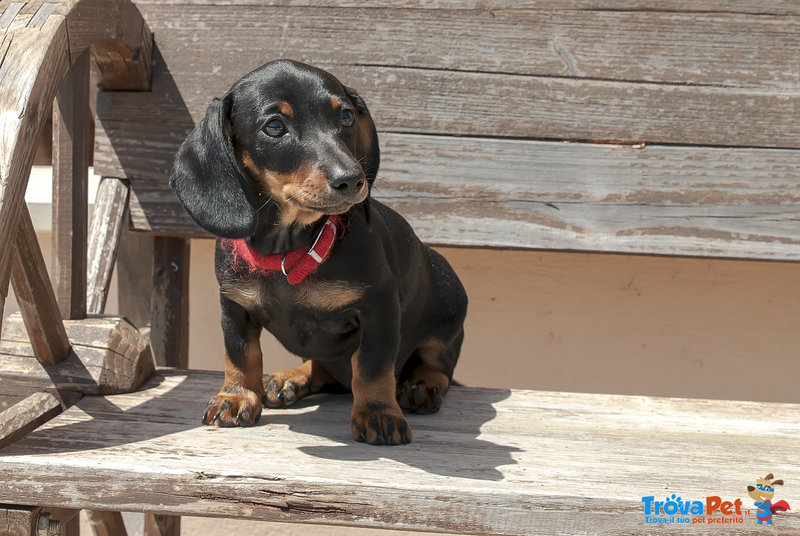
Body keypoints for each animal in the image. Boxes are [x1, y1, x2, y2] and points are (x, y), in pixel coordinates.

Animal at [170, 58, 468, 446]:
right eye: (275, 126)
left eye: (346, 116)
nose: (353, 179)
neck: (290, 249)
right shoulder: (233, 305)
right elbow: (240, 354)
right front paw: (236, 397)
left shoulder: (379, 308)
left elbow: (372, 367)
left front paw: (378, 413)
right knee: (323, 366)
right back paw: (291, 379)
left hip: (448, 314)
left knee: (437, 364)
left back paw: (421, 385)